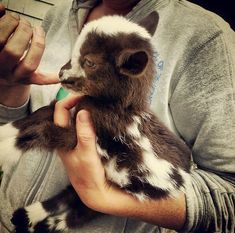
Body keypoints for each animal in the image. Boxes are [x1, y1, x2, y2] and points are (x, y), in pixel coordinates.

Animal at [0, 12, 191, 231]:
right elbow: (37, 115)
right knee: (69, 195)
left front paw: (4, 151)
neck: (113, 109)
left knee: (81, 211)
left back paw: (45, 224)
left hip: (120, 191)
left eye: (89, 62)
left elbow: (42, 132)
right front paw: (3, 133)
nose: (61, 73)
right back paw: (26, 216)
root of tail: (186, 175)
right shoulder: (67, 110)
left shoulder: (88, 140)